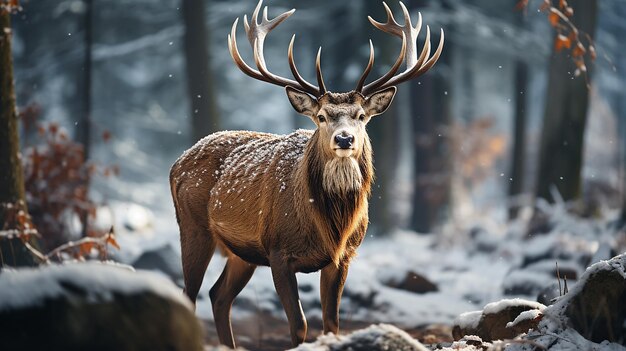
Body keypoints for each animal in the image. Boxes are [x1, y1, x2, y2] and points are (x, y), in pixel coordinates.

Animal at [168, 0, 442, 346]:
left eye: (361, 115)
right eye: (322, 116)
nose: (344, 139)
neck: (329, 226)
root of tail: (177, 163)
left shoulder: (344, 256)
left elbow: (331, 323)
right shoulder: (278, 251)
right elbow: (298, 324)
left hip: (242, 253)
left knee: (219, 296)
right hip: (193, 227)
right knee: (189, 295)